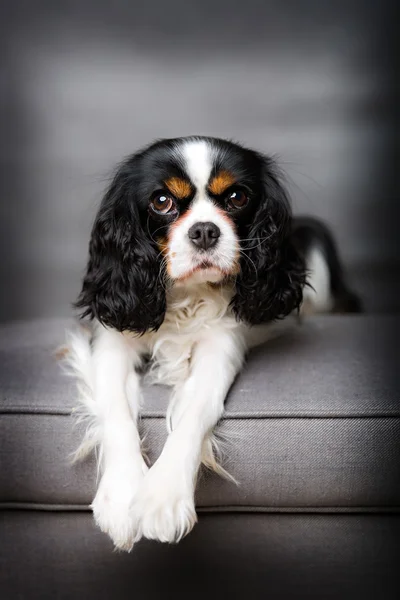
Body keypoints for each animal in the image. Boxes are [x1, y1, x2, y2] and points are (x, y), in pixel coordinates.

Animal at [63, 136, 362, 548]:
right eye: (161, 201)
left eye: (236, 197)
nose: (205, 230)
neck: (187, 295)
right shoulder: (111, 342)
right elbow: (115, 410)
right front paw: (122, 495)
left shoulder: (220, 347)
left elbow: (195, 411)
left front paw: (163, 497)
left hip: (315, 236)